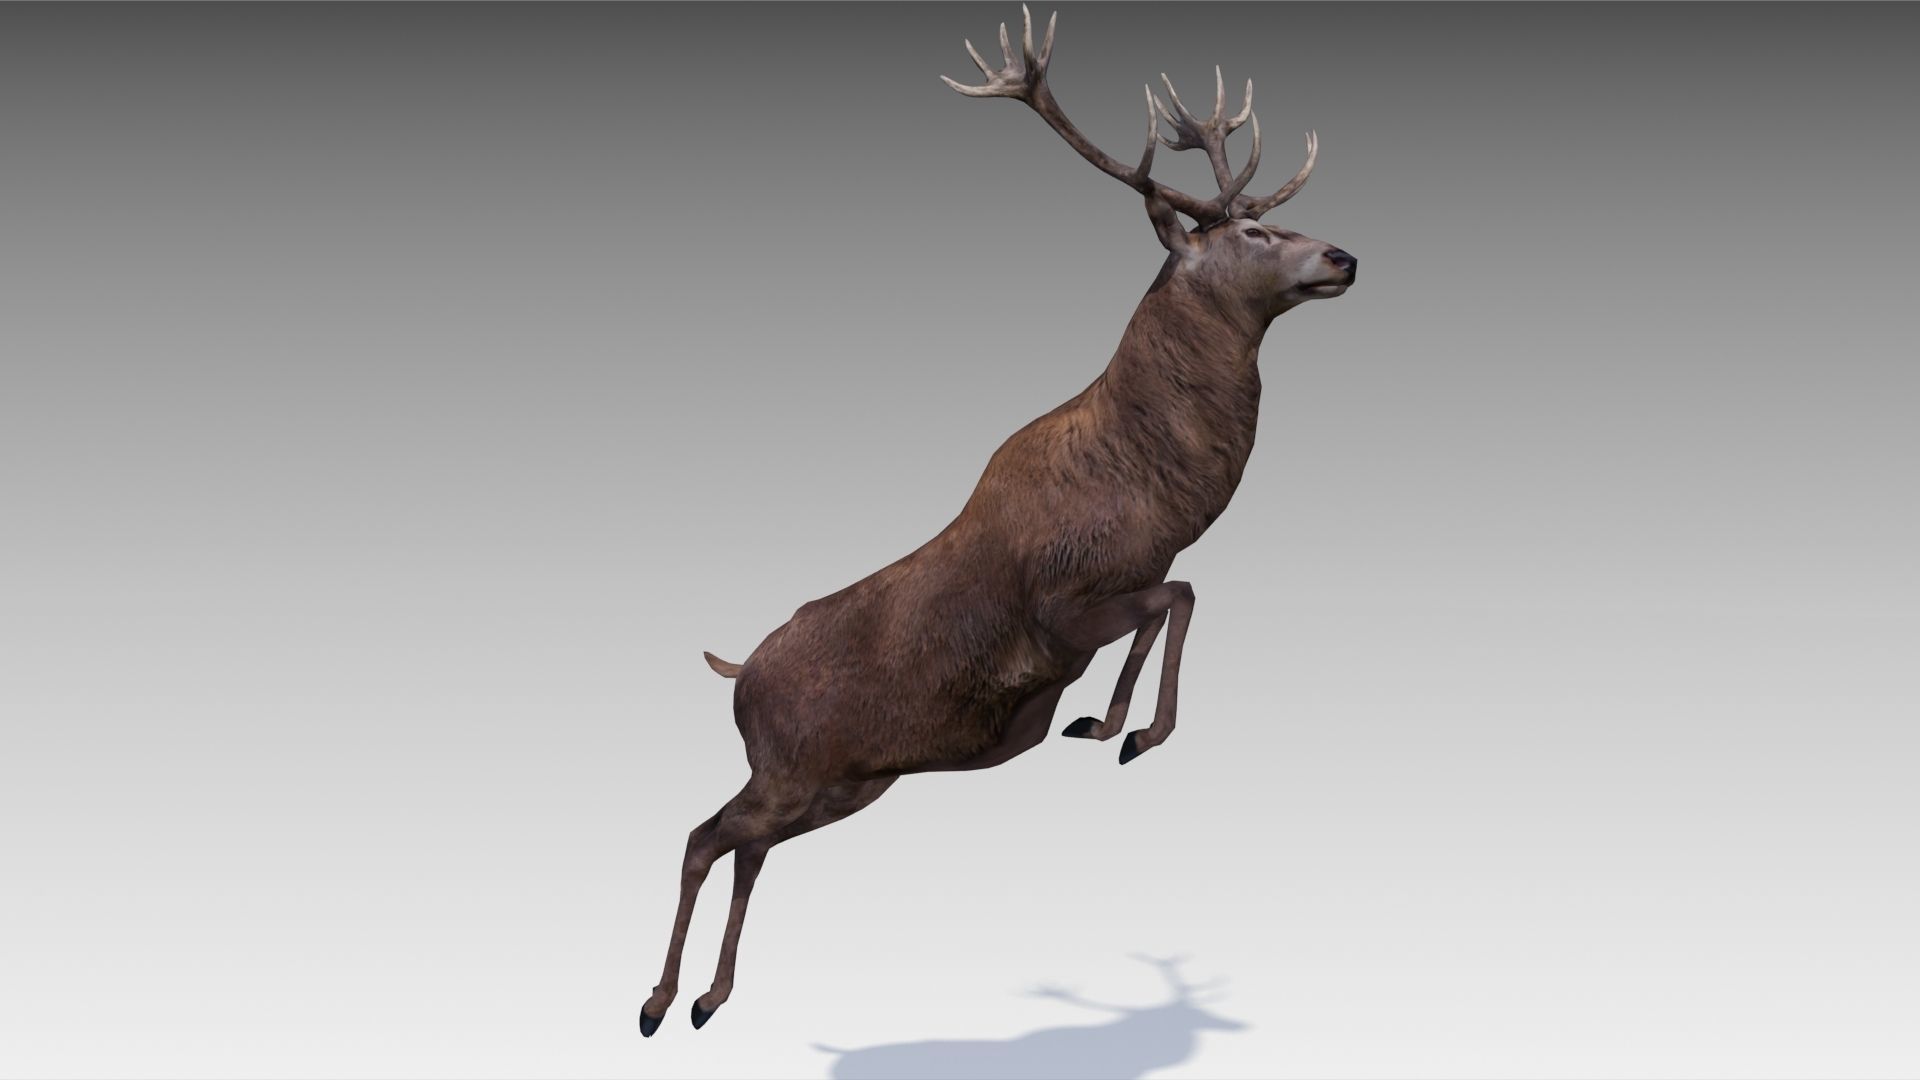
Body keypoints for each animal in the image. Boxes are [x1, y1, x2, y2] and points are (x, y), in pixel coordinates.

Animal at [639, 6, 1356, 1036]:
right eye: (1258, 229)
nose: (1345, 255)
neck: (1152, 493)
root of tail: (738, 675)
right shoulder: (1059, 605)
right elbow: (1180, 595)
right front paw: (1142, 732)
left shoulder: (1117, 592)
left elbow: (1163, 606)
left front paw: (1103, 724)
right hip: (791, 767)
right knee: (704, 836)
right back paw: (661, 1001)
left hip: (843, 783)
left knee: (747, 848)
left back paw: (711, 996)